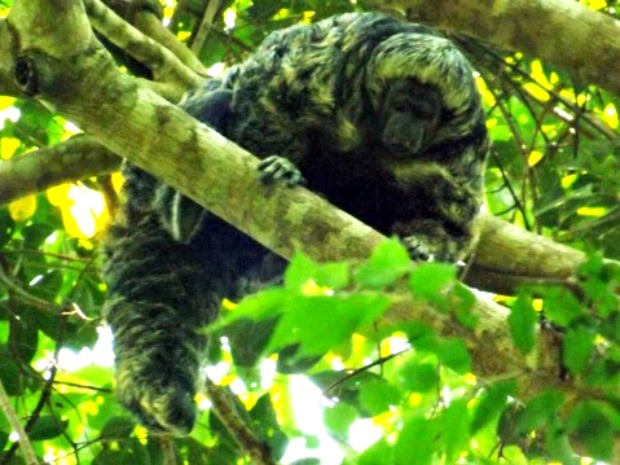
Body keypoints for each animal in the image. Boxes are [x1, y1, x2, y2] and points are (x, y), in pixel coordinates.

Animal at [103, 12, 490, 436]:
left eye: (426, 115)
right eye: (401, 105)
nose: (407, 131)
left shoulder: (461, 152)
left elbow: (451, 219)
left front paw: (426, 245)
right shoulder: (328, 58)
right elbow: (269, 95)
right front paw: (281, 165)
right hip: (146, 180)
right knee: (216, 98)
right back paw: (184, 207)